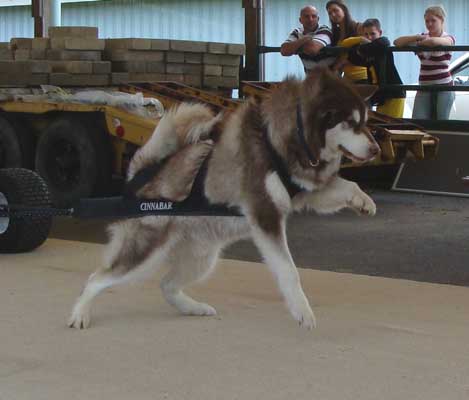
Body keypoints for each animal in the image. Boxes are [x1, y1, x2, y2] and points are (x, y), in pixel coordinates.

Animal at [69, 69, 378, 332]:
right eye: (350, 123)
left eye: (366, 122)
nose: (375, 149)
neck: (285, 138)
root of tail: (138, 175)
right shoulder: (265, 213)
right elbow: (289, 271)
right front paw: (302, 311)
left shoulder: (302, 190)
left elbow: (345, 185)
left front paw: (363, 201)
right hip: (145, 252)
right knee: (96, 278)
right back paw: (80, 314)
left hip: (203, 258)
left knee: (166, 285)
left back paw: (193, 307)